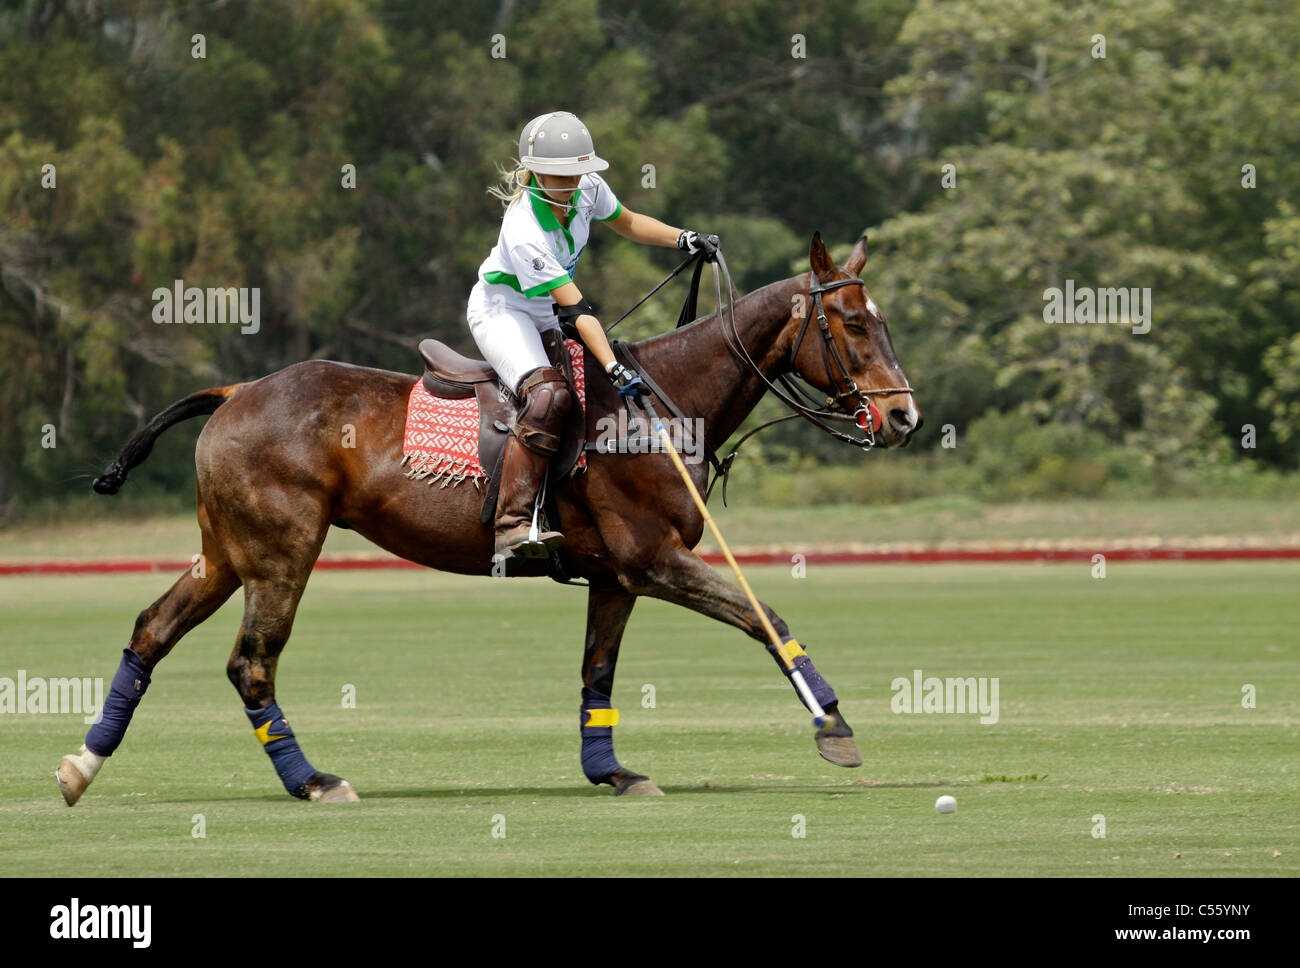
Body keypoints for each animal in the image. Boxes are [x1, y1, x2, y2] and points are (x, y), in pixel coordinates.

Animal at [55, 229, 920, 805]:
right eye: (851, 324)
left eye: (883, 321)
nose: (904, 417)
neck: (666, 402)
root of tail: (235, 393)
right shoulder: (654, 558)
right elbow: (764, 614)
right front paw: (833, 726)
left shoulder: (617, 575)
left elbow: (597, 671)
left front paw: (611, 771)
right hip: (281, 550)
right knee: (251, 662)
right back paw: (314, 780)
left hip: (226, 549)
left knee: (152, 628)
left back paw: (80, 766)